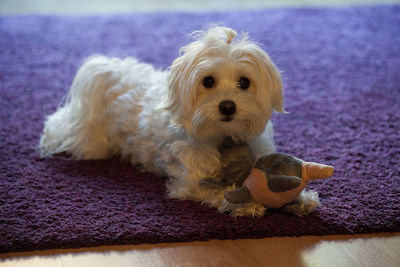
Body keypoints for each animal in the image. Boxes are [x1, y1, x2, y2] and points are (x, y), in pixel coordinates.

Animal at [40, 26, 320, 218]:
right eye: (208, 81)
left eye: (244, 82)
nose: (228, 105)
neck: (223, 135)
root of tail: (110, 70)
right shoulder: (190, 182)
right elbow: (218, 191)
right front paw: (246, 203)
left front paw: (301, 198)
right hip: (92, 143)